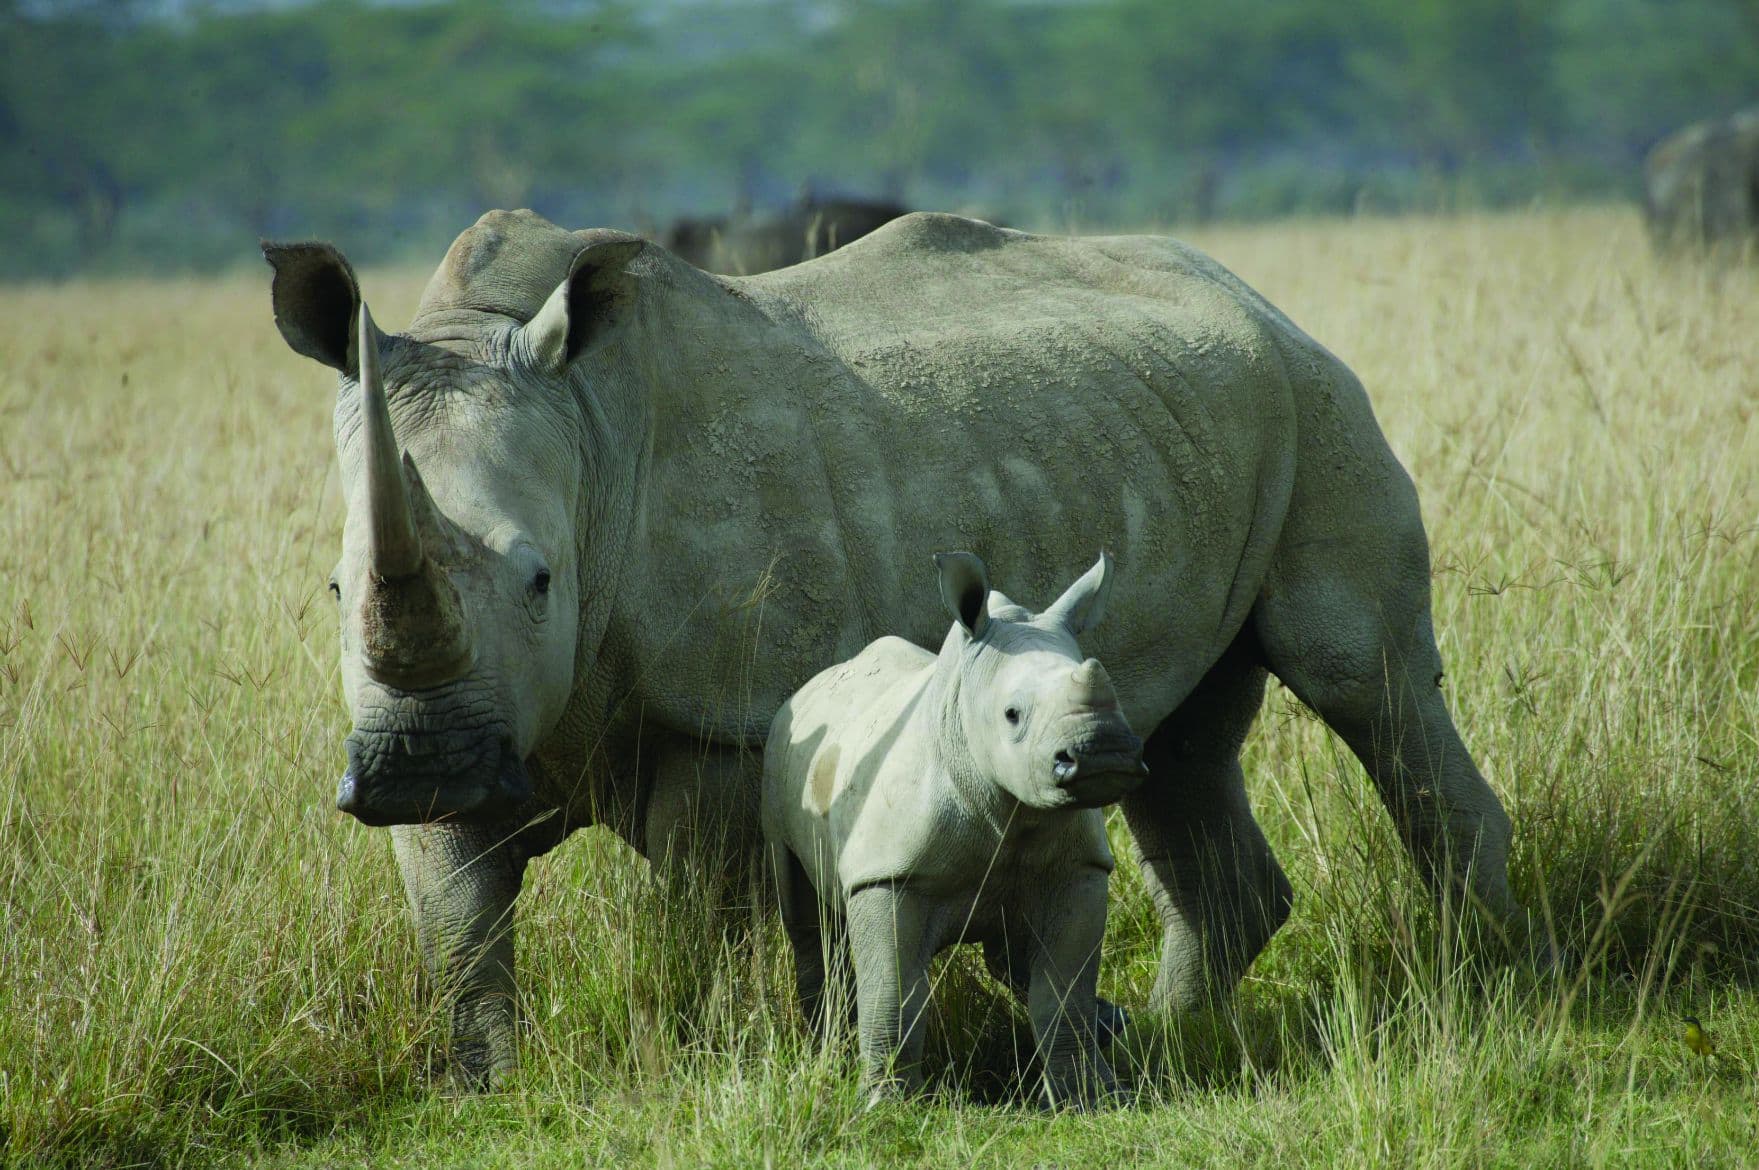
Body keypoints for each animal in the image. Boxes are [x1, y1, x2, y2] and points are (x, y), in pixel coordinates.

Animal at [764, 551, 1144, 1107]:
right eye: (1012, 714)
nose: (1104, 754)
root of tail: (810, 685)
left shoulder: (1078, 867)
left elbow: (1062, 995)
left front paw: (1092, 1099)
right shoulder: (888, 875)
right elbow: (895, 995)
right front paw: (885, 1104)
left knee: (1014, 960)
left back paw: (1109, 1026)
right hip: (782, 754)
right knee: (808, 924)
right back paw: (825, 1050)